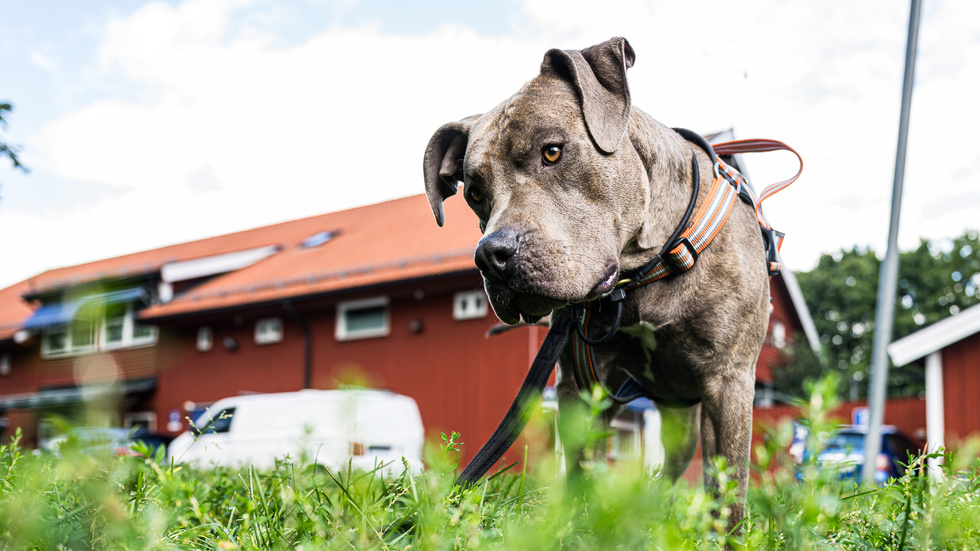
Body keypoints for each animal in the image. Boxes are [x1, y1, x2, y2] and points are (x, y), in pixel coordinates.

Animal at [424, 36, 768, 528]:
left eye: (552, 151)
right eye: (474, 193)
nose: (491, 255)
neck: (642, 276)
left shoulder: (729, 382)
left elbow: (728, 494)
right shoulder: (581, 388)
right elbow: (581, 473)